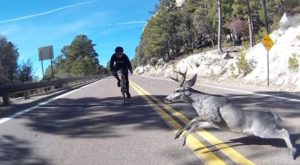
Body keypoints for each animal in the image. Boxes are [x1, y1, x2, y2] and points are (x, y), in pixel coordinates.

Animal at [164, 68, 298, 160]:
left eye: (177, 90)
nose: (166, 99)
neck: (201, 103)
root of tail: (272, 116)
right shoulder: (213, 123)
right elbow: (196, 125)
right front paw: (183, 139)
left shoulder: (215, 116)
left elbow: (194, 119)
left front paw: (178, 135)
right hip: (267, 129)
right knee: (284, 130)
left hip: (262, 130)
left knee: (285, 132)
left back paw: (292, 153)